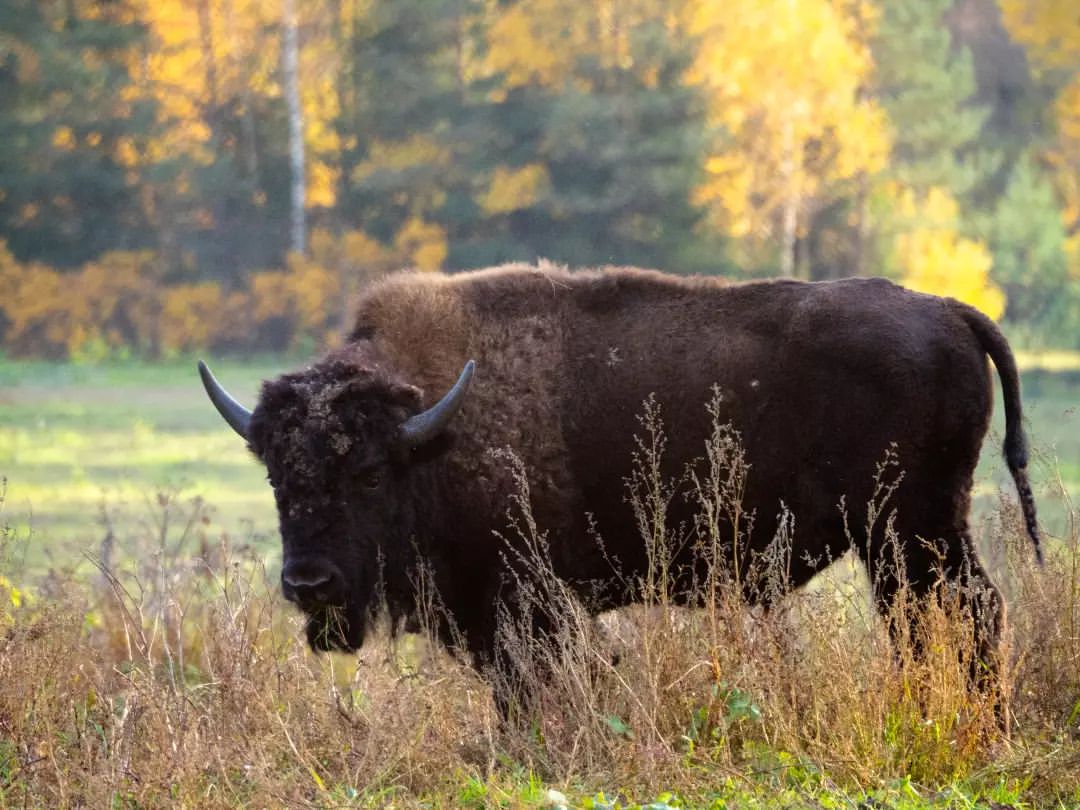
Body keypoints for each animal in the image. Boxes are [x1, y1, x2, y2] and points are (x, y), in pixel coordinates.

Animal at [199, 264, 1040, 708]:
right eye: (278, 475)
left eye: (369, 473)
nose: (309, 584)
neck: (434, 429)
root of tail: (948, 309)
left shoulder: (524, 607)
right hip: (905, 539)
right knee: (929, 621)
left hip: (914, 528)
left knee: (968, 614)